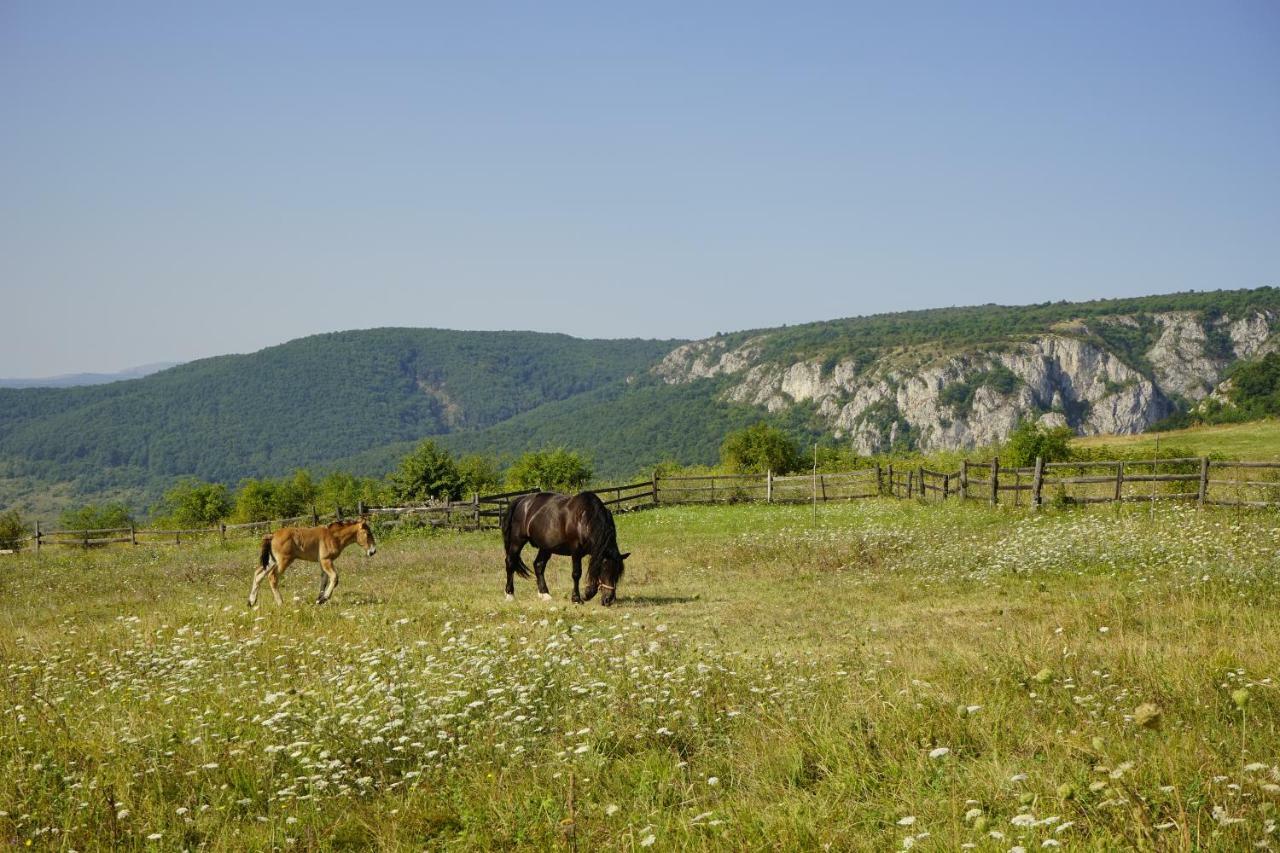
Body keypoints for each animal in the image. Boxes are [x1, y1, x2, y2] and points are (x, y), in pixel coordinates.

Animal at [245, 517, 373, 604]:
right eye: (367, 533)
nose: (373, 551)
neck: (333, 536)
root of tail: (272, 535)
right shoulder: (326, 560)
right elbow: (334, 577)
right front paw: (324, 598)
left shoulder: (322, 562)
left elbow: (324, 579)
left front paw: (319, 599)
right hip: (283, 561)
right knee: (272, 577)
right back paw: (280, 603)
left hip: (272, 561)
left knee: (258, 574)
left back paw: (251, 602)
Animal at [499, 489, 629, 601]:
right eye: (605, 569)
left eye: (618, 572)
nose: (609, 599)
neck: (585, 518)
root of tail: (521, 500)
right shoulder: (576, 550)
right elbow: (576, 573)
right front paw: (576, 598)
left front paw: (588, 593)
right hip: (517, 541)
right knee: (510, 562)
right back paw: (510, 594)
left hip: (545, 547)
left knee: (538, 565)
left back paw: (544, 594)